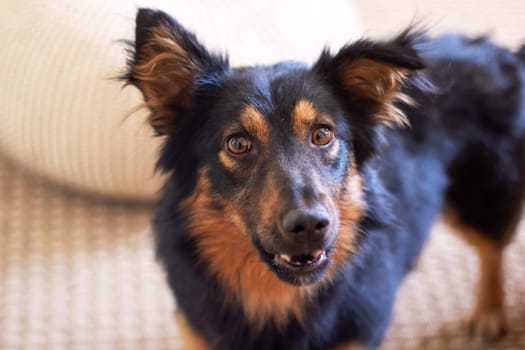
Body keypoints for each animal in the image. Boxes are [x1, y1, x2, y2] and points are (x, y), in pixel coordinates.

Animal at [122, 8, 524, 350]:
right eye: (237, 143)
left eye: (322, 135)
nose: (309, 225)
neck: (276, 300)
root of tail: (500, 50)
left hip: (479, 196)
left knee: (492, 249)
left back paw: (489, 314)